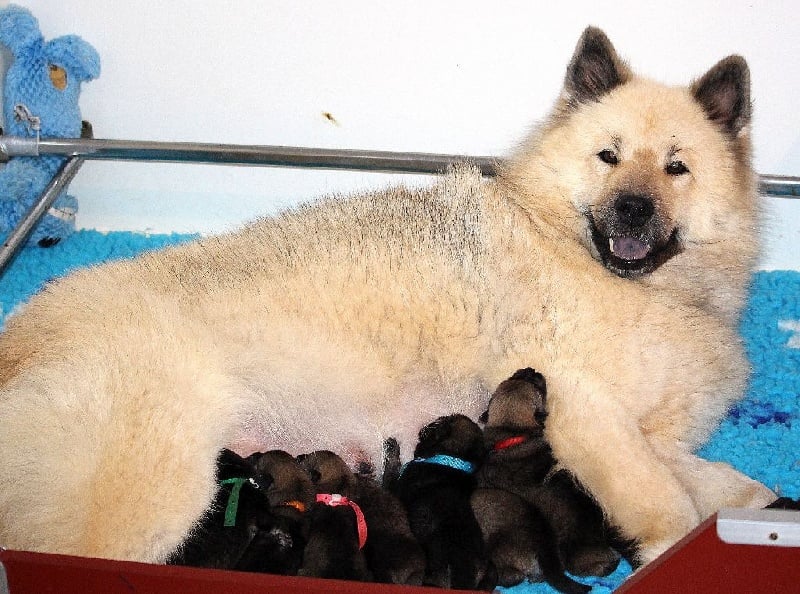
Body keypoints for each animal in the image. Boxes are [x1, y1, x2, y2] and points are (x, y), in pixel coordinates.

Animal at [0, 27, 776, 564]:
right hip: (151, 489)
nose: (634, 210)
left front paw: (752, 499)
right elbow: (667, 500)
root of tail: (19, 337)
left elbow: (712, 479)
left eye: (676, 168)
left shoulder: (647, 435)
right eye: (608, 157)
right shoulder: (586, 411)